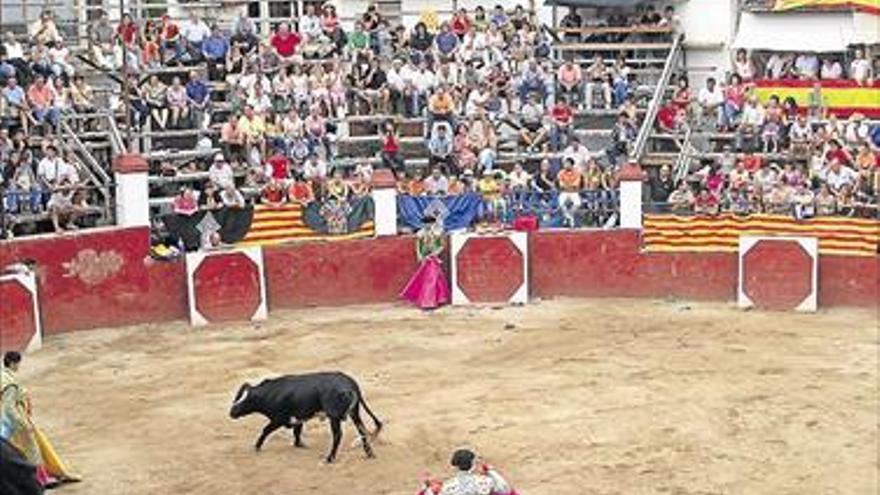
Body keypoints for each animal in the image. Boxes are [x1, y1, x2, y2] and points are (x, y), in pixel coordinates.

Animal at [232, 374, 384, 464]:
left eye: (245, 400)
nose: (231, 412)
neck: (271, 393)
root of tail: (350, 385)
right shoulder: (299, 417)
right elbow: (297, 431)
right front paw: (299, 444)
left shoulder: (279, 419)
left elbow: (265, 430)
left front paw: (257, 446)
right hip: (354, 413)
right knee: (361, 430)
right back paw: (370, 454)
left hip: (334, 416)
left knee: (338, 435)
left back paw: (329, 458)